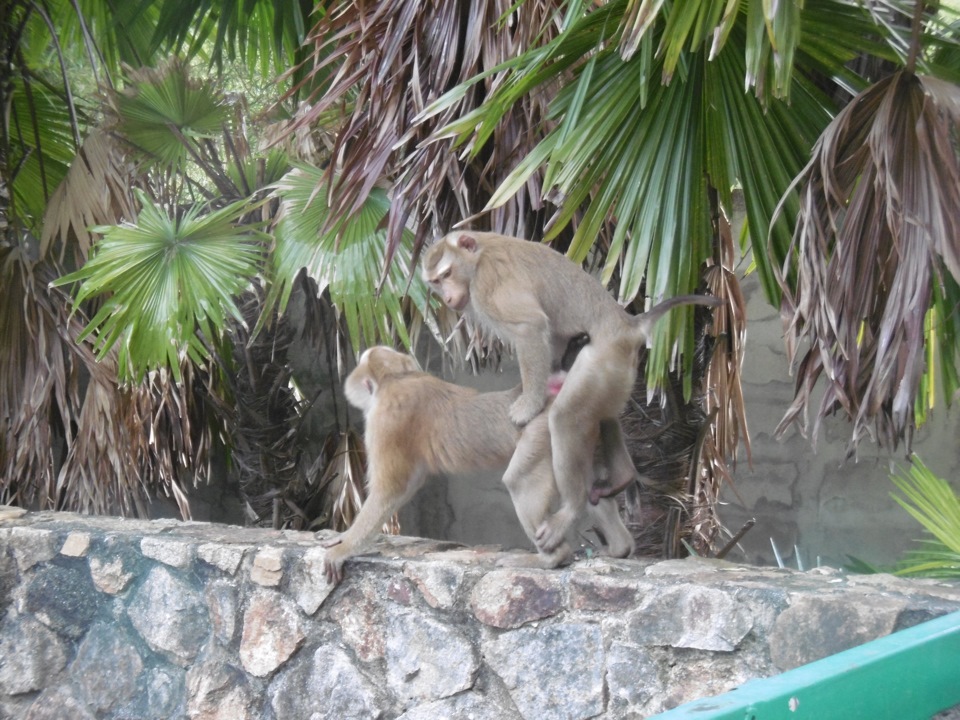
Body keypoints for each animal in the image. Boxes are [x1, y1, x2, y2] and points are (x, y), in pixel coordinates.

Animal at [322, 348, 636, 584]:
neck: (398, 377)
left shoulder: (387, 416)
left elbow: (390, 489)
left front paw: (344, 546)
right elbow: (407, 484)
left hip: (544, 430)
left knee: (520, 479)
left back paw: (551, 557)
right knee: (591, 487)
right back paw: (619, 545)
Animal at [422, 231, 720, 552]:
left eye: (447, 274)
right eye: (436, 281)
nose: (447, 297)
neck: (478, 255)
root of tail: (628, 325)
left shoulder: (487, 283)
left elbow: (530, 327)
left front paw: (528, 405)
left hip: (603, 360)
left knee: (566, 418)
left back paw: (571, 510)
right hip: (618, 374)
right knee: (602, 414)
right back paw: (622, 476)